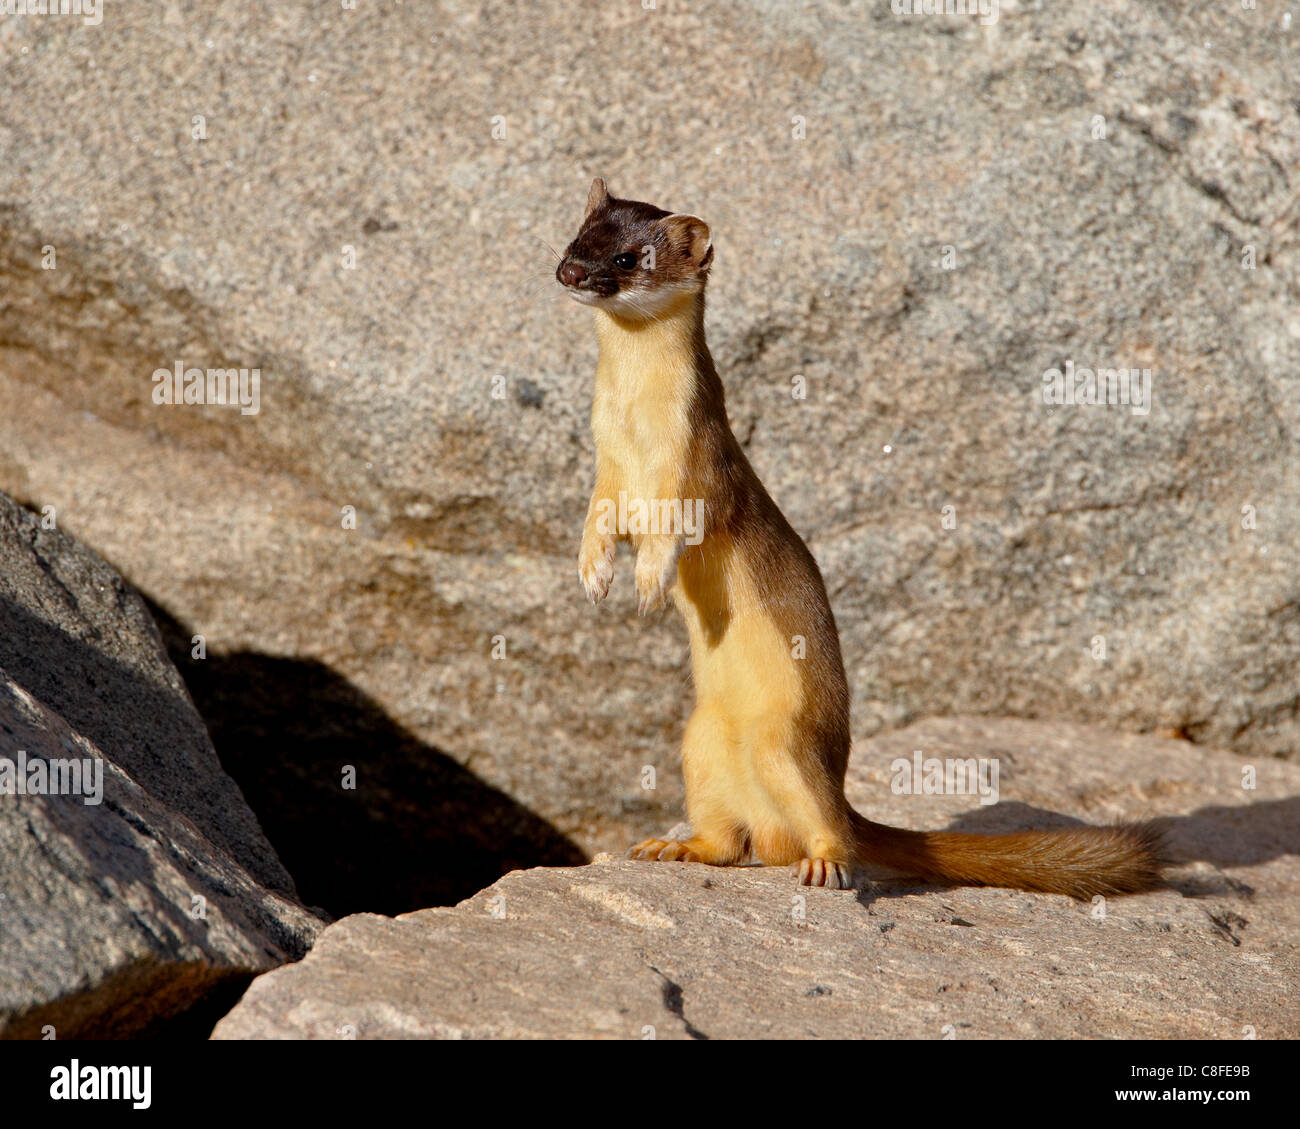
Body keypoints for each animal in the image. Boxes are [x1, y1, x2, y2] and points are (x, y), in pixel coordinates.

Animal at [553, 178, 1164, 900]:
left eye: (628, 257)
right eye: (576, 236)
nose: (569, 272)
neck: (635, 430)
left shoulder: (698, 467)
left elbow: (674, 533)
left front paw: (648, 583)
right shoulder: (608, 473)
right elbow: (597, 522)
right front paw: (593, 574)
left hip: (787, 741)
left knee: (825, 823)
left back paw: (823, 862)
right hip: (700, 741)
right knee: (730, 841)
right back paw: (673, 845)